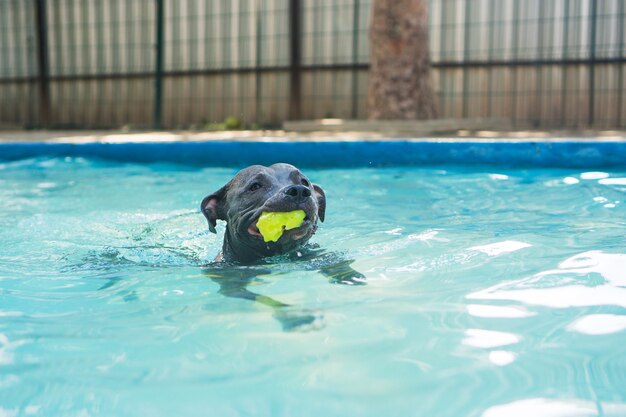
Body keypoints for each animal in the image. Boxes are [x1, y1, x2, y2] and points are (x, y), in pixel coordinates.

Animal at [200, 164, 366, 330]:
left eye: (304, 182)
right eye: (255, 186)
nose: (299, 191)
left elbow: (335, 261)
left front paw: (350, 276)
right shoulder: (232, 285)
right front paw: (294, 316)